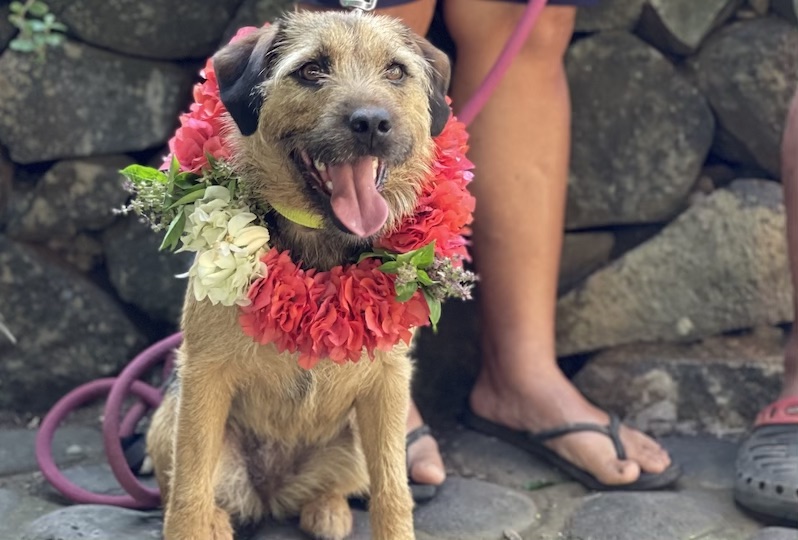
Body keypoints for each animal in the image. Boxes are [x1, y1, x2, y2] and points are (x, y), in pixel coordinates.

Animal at [147, 9, 454, 540]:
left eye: (396, 71)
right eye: (311, 70)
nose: (372, 123)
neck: (321, 247)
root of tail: (272, 492)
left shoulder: (388, 385)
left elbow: (393, 491)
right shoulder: (204, 376)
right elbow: (188, 489)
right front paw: (193, 524)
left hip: (352, 444)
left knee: (340, 484)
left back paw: (326, 508)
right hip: (168, 419)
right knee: (193, 485)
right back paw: (218, 520)